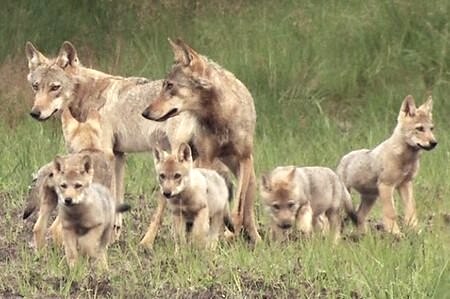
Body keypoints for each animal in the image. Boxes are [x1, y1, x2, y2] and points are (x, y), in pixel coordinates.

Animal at [24, 41, 197, 237]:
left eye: (55, 87)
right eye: (36, 86)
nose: (35, 113)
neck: (90, 95)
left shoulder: (106, 154)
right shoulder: (119, 155)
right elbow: (118, 198)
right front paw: (115, 233)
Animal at [141, 38, 260, 244]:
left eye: (170, 86)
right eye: (164, 85)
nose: (145, 113)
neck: (221, 116)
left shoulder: (244, 159)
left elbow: (237, 208)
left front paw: (229, 231)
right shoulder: (206, 158)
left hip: (249, 176)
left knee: (247, 212)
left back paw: (255, 239)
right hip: (175, 165)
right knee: (160, 211)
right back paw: (147, 242)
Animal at [338, 96, 436, 237]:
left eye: (431, 129)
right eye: (420, 128)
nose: (434, 143)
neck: (406, 159)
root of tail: (343, 158)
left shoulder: (405, 184)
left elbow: (411, 211)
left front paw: (415, 231)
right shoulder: (387, 186)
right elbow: (391, 213)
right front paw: (396, 234)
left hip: (371, 198)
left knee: (359, 216)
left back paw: (364, 237)